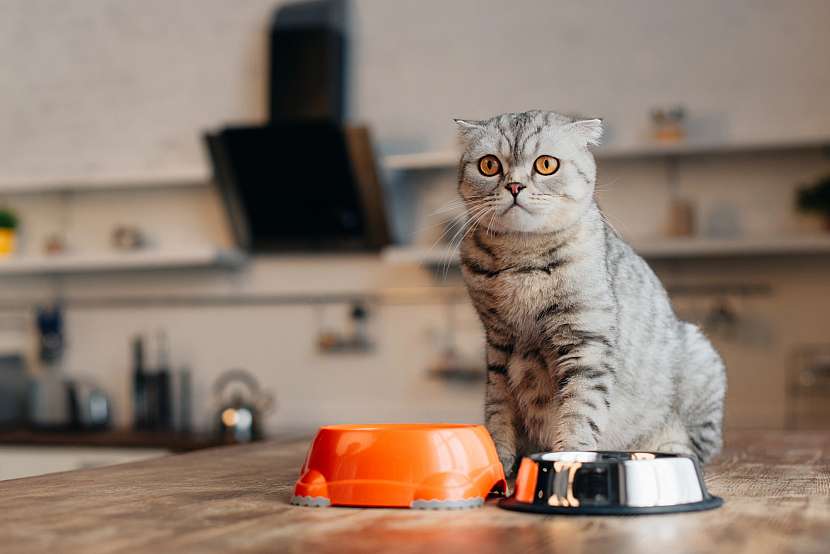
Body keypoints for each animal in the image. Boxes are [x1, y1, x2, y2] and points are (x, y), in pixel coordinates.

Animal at [456, 110, 728, 472]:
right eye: (489, 165)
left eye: (545, 164)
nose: (514, 186)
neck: (521, 258)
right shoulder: (498, 345)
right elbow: (498, 412)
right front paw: (499, 463)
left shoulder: (585, 343)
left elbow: (579, 412)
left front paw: (569, 459)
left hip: (700, 361)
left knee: (699, 449)